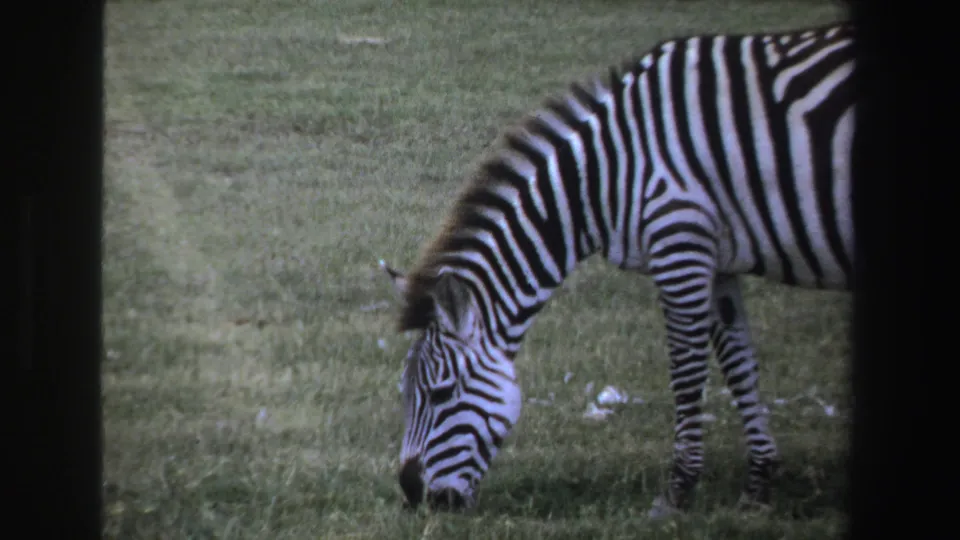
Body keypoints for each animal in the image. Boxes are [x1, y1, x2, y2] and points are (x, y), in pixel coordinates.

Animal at [381, 21, 855, 516]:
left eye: (440, 393)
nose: (413, 496)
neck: (604, 176)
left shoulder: (679, 244)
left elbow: (686, 372)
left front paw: (678, 490)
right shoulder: (717, 260)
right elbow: (740, 365)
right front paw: (759, 485)